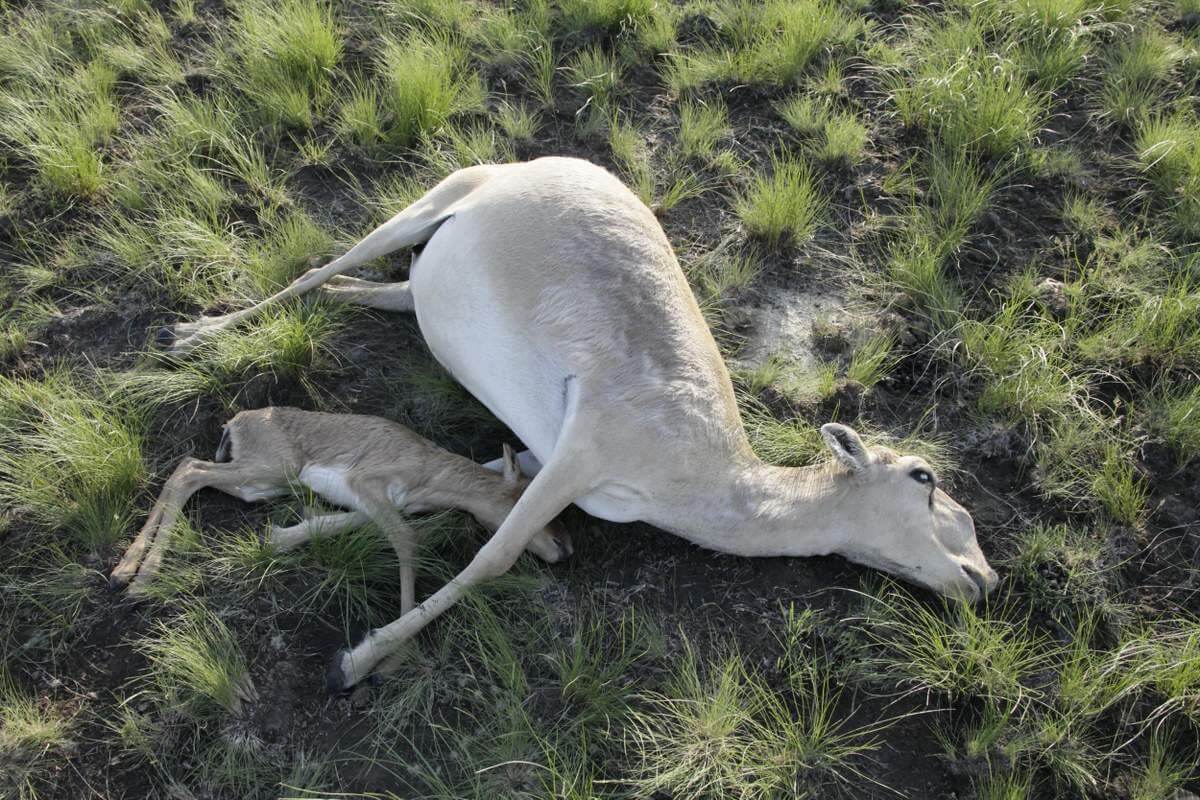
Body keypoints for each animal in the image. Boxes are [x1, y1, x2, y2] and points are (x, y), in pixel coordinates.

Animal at [154, 154, 998, 690]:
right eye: (924, 477)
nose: (983, 578)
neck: (703, 473)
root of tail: (553, 163)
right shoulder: (577, 454)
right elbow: (492, 554)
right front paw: (356, 663)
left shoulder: (531, 456)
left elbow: (436, 500)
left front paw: (286, 536)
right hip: (427, 202)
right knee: (319, 268)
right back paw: (191, 333)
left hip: (420, 273)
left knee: (376, 290)